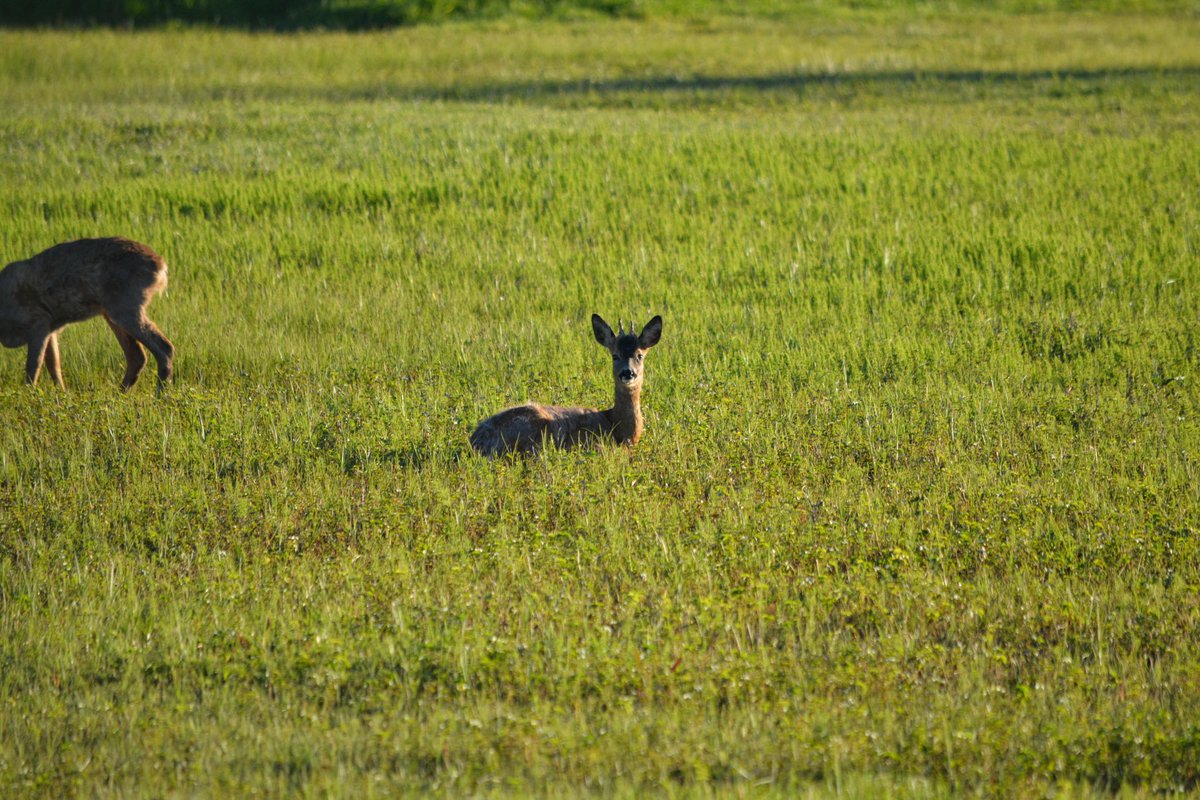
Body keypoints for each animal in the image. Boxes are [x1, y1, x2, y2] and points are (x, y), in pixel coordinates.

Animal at [0, 236, 175, 388]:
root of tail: (161, 266)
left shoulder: (38, 321)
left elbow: (33, 367)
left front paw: (32, 396)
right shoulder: (50, 327)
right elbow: (53, 364)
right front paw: (60, 395)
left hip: (125, 306)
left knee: (163, 347)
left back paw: (158, 394)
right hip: (112, 312)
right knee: (137, 356)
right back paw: (120, 394)